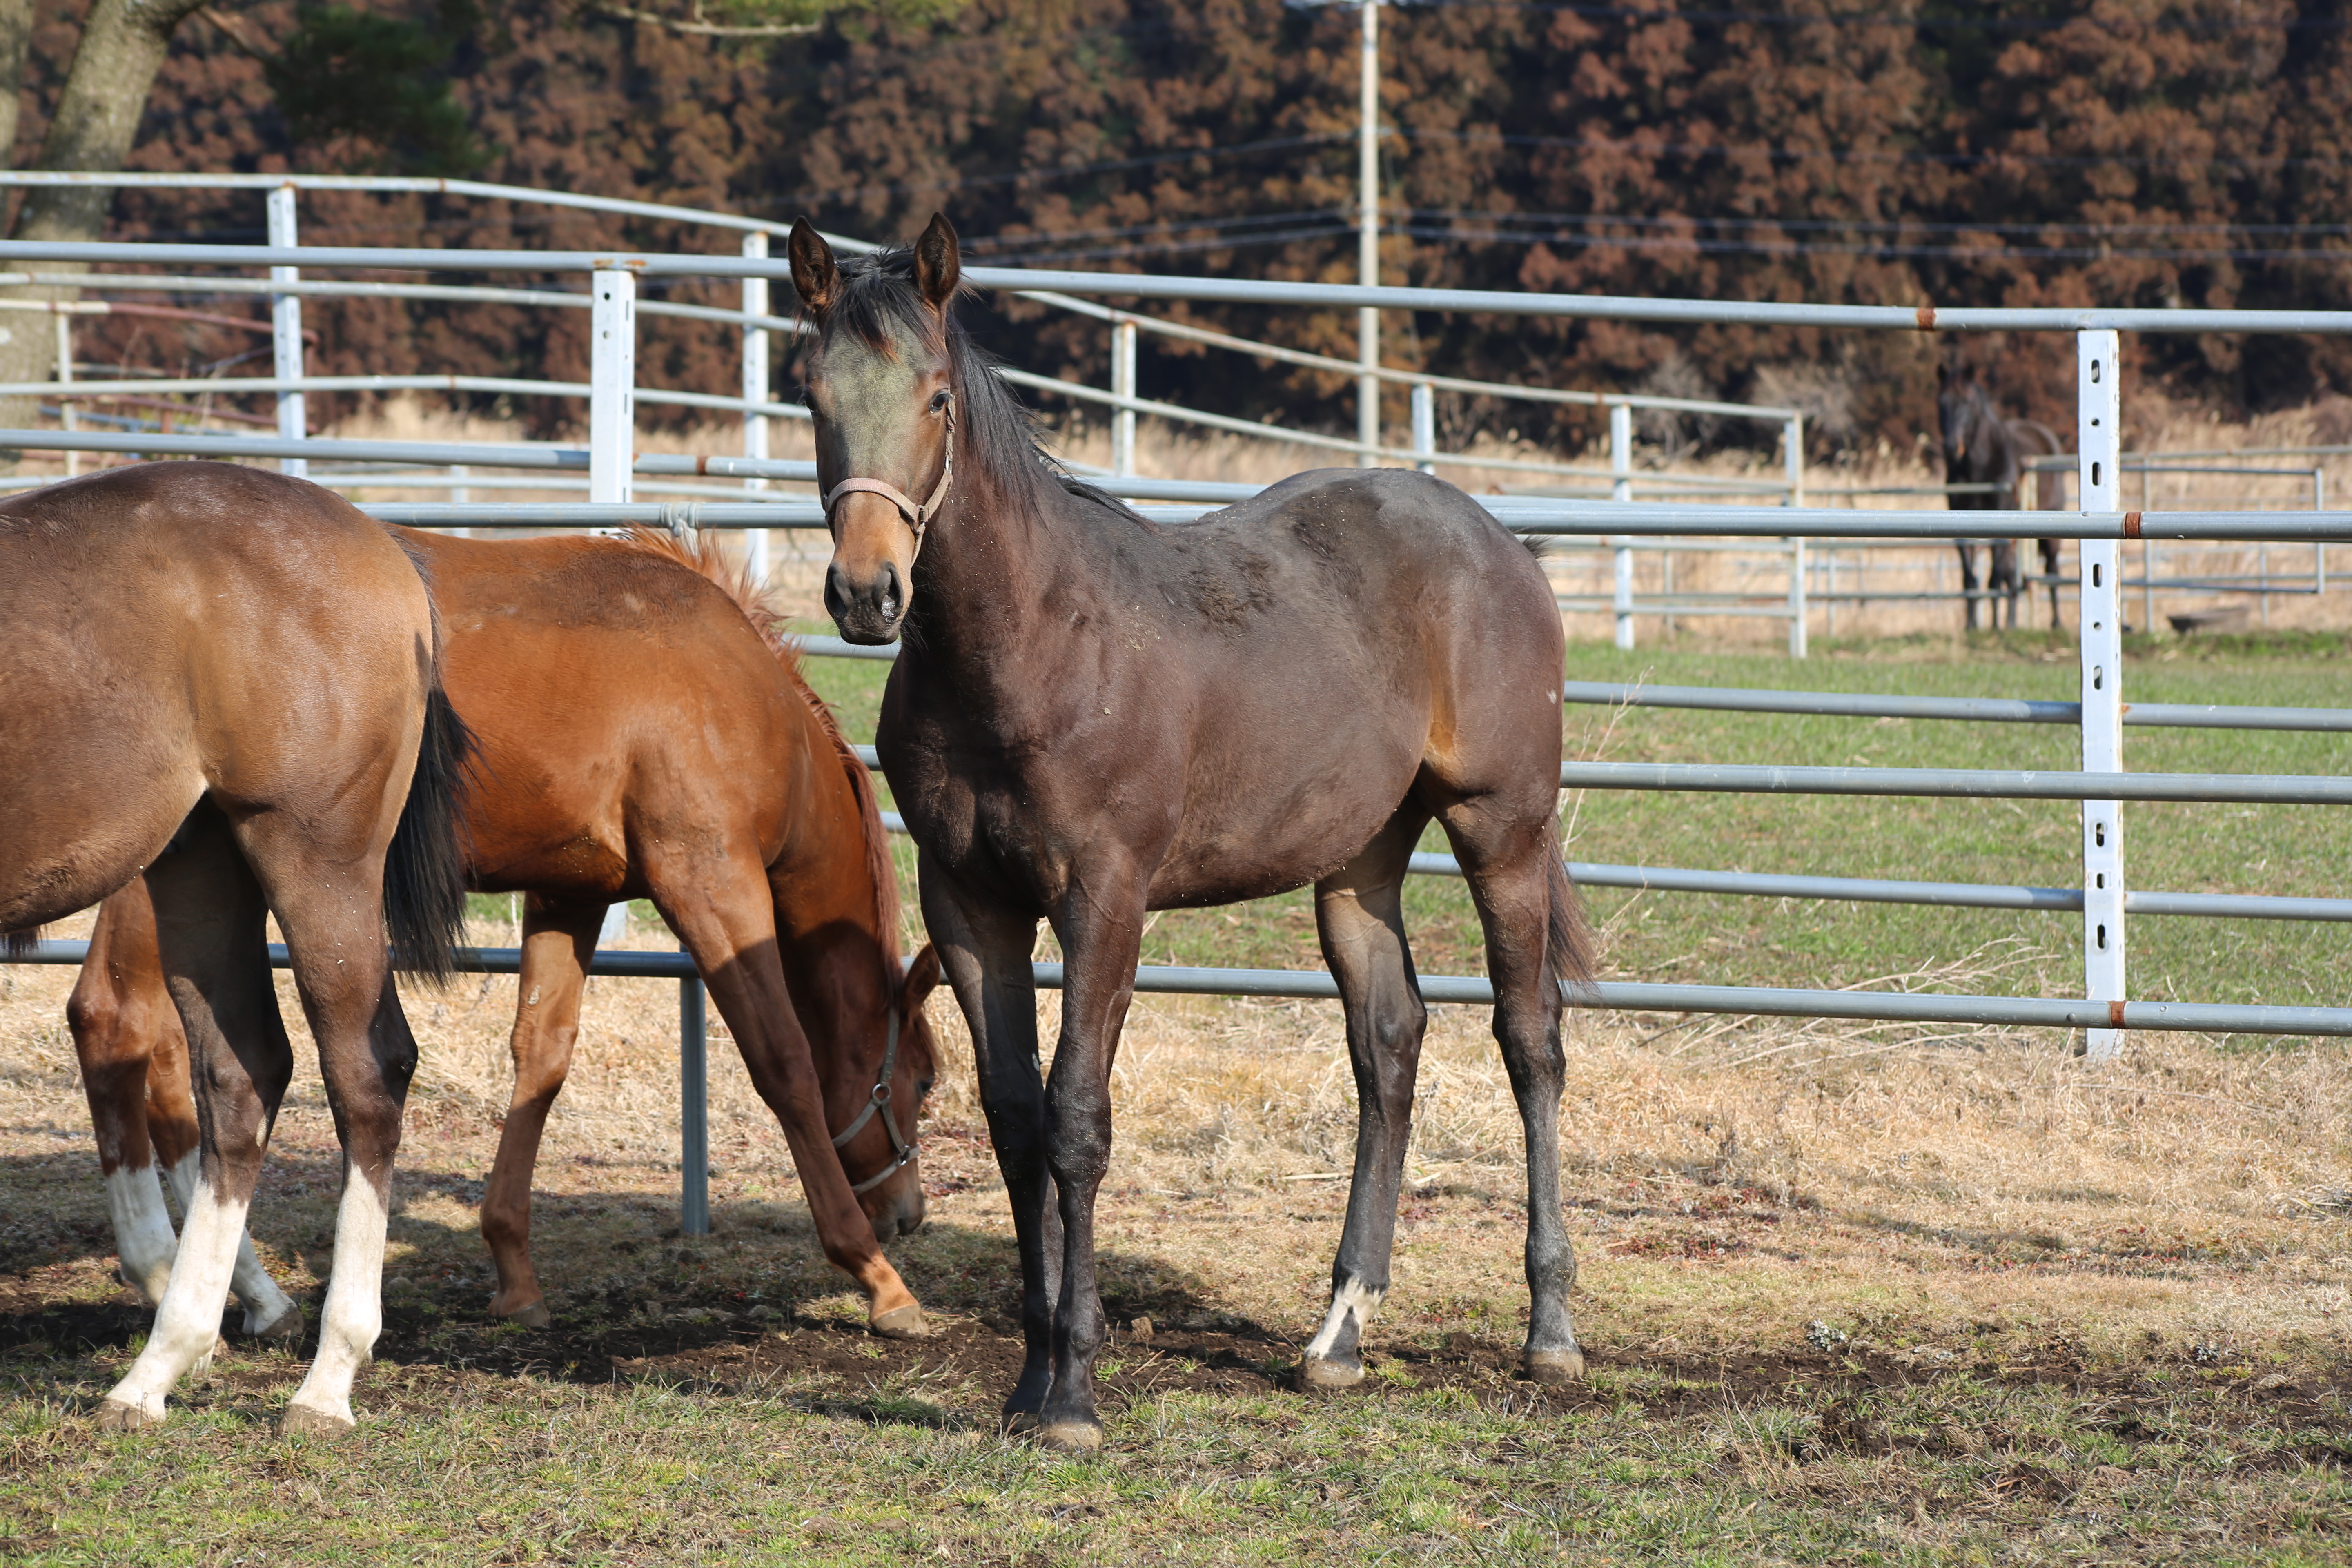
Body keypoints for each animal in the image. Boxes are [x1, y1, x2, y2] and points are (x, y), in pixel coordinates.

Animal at [0, 463, 468, 1439]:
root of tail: (382, 546)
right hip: (201, 866)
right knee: (240, 1074)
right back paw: (161, 1365)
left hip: (313, 859)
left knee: (366, 1073)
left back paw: (327, 1378)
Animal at [69, 524, 941, 1354]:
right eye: (925, 1079)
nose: (909, 1214)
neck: (744, 699)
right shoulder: (712, 884)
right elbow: (784, 1064)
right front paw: (876, 1275)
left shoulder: (571, 892)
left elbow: (542, 1057)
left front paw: (515, 1273)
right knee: (115, 1021)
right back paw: (178, 1277)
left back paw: (236, 1291)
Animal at [795, 215, 1599, 1457]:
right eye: (812, 393)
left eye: (935, 396)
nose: (867, 593)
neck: (1028, 646)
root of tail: (1498, 544)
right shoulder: (970, 905)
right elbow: (1016, 1121)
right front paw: (1027, 1378)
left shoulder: (1104, 900)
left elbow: (1078, 1120)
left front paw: (1074, 1390)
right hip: (1355, 862)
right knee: (1388, 1043)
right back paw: (1338, 1336)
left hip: (1499, 828)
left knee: (1530, 1041)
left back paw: (1548, 1329)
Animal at [1938, 359, 2069, 630]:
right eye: (1941, 402)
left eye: (1966, 402)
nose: (1951, 447)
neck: (1979, 464)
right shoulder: (1960, 524)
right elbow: (1970, 578)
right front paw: (1971, 626)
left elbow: (1994, 579)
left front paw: (1995, 627)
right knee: (2012, 575)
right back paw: (2011, 622)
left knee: (2051, 570)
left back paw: (2054, 622)